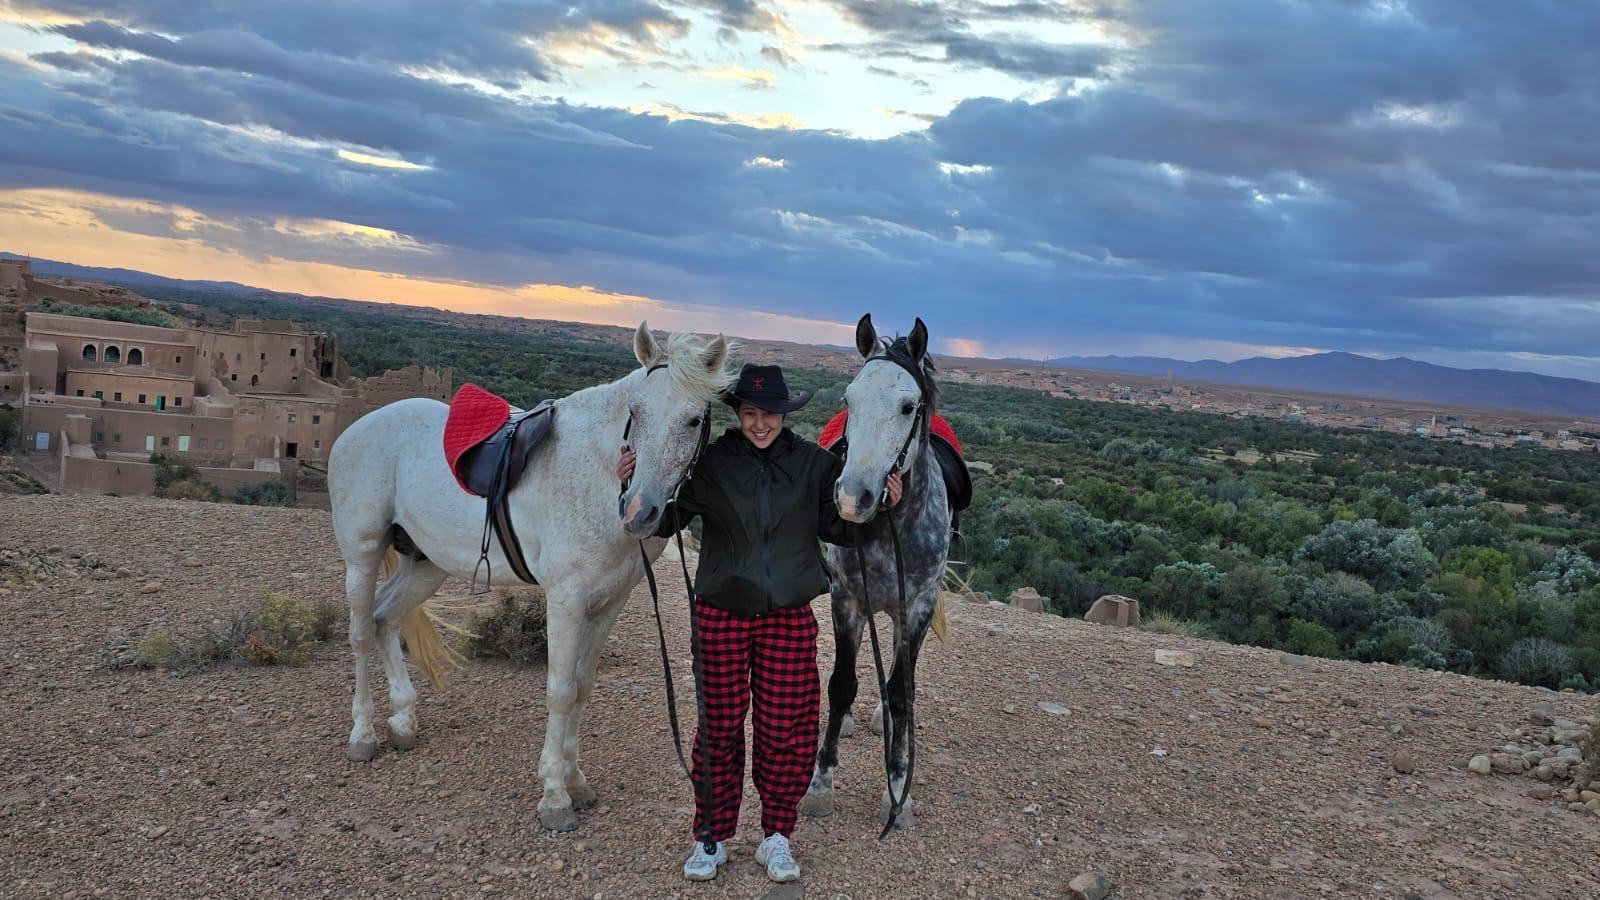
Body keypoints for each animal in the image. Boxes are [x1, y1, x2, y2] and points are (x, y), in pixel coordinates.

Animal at [327, 323, 733, 832]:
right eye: (635, 411)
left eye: (694, 421)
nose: (640, 512)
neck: (600, 475)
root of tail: (359, 426)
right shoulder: (565, 599)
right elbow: (560, 691)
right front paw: (555, 795)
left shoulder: (609, 604)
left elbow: (583, 685)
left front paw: (576, 780)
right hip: (362, 555)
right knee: (362, 633)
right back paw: (362, 735)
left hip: (426, 563)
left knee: (384, 619)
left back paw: (402, 721)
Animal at [802, 314, 949, 830]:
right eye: (849, 400)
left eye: (908, 407)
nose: (852, 497)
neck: (890, 527)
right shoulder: (847, 598)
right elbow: (841, 683)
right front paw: (820, 783)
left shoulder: (917, 609)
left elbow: (903, 691)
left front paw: (897, 788)